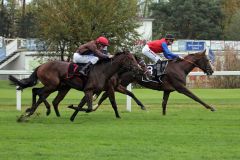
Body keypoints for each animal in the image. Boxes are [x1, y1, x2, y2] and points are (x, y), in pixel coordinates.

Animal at [8, 51, 142, 120]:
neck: (104, 70)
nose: (139, 69)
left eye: (136, 59)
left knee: (43, 95)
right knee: (39, 93)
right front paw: (72, 107)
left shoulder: (100, 89)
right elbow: (88, 107)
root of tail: (41, 66)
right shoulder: (91, 89)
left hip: (60, 87)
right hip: (52, 85)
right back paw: (40, 110)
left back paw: (33, 111)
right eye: (131, 59)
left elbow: (87, 104)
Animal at [80, 49, 216, 115]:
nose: (212, 71)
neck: (179, 67)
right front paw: (211, 107)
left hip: (120, 83)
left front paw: (164, 115)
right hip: (122, 82)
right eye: (207, 59)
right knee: (105, 94)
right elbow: (195, 97)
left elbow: (164, 103)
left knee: (105, 94)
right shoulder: (181, 87)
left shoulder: (167, 90)